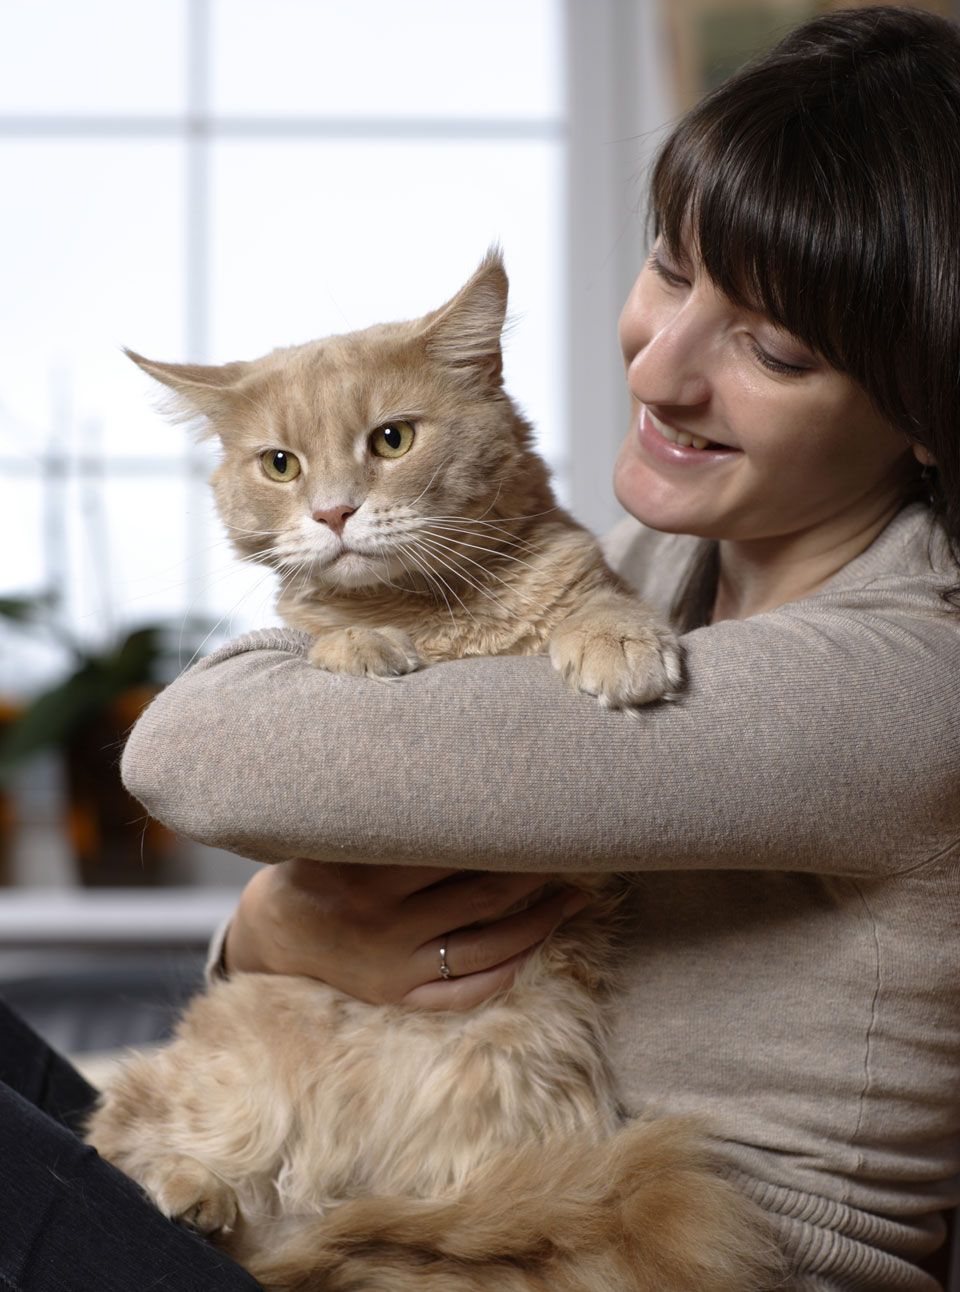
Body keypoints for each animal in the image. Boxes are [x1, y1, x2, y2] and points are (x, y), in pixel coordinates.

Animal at [86, 251, 780, 1292]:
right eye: (280, 464)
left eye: (392, 439)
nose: (334, 512)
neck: (439, 618)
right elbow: (324, 639)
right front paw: (360, 649)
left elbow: (596, 600)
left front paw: (617, 644)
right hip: (226, 1069)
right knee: (132, 1128)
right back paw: (193, 1188)